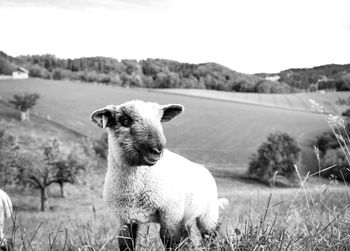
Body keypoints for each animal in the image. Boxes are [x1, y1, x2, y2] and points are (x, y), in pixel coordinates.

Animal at [90, 100, 228, 251]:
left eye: (159, 120)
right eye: (125, 121)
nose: (157, 149)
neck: (135, 192)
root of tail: (204, 170)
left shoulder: (170, 215)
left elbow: (170, 241)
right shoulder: (125, 219)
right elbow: (125, 244)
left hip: (208, 215)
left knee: (211, 236)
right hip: (186, 216)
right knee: (188, 237)